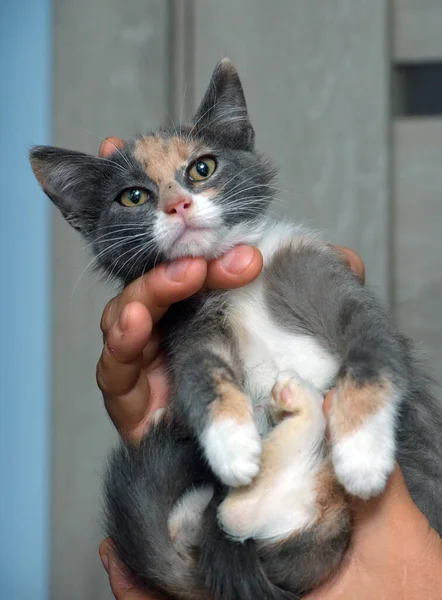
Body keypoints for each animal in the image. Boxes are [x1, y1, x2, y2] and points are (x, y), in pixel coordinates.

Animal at [31, 57, 442, 600]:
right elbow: (202, 372)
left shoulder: (326, 278)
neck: (237, 281)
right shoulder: (188, 323)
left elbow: (372, 351)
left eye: (202, 168)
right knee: (237, 514)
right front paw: (231, 444)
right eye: (133, 196)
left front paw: (362, 452)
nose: (178, 205)